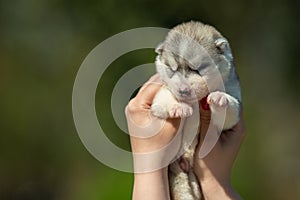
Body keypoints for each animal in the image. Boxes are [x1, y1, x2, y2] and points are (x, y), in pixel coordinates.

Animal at [150, 21, 241, 199]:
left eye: (198, 69)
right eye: (173, 69)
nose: (183, 90)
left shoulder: (234, 97)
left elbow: (231, 109)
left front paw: (220, 98)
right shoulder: (160, 94)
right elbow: (164, 98)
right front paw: (179, 106)